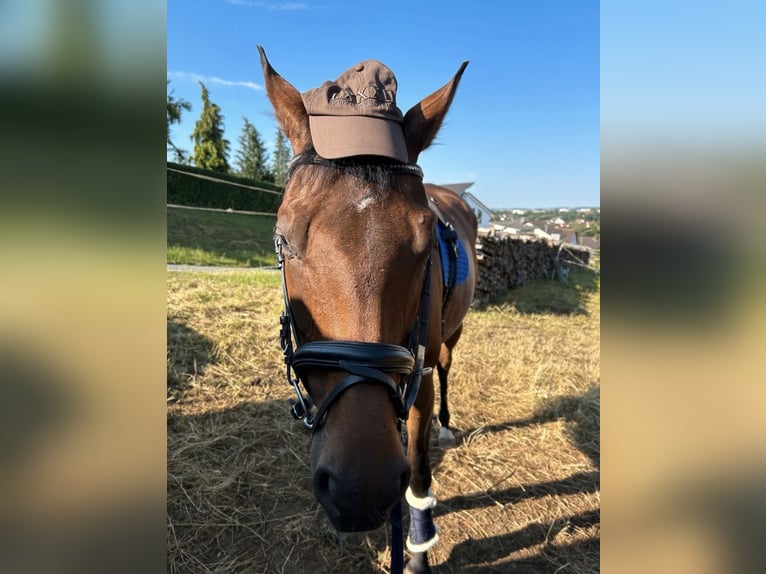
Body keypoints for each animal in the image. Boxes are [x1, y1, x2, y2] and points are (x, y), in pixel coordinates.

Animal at [258, 46, 476, 574]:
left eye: (425, 242)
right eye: (283, 239)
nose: (360, 489)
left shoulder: (416, 380)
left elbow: (418, 470)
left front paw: (417, 552)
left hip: (451, 337)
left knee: (446, 370)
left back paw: (445, 426)